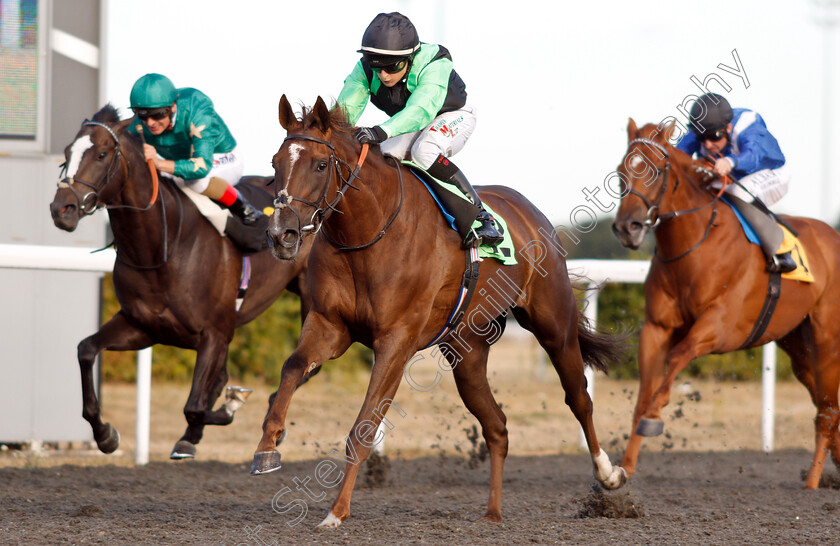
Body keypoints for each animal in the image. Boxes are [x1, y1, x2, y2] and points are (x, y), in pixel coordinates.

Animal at [49, 103, 314, 460]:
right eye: (66, 153)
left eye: (102, 154)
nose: (61, 208)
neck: (162, 248)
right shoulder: (142, 326)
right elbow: (86, 350)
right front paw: (105, 435)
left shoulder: (214, 333)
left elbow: (195, 406)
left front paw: (230, 407)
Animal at [246, 95, 628, 524]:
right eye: (276, 162)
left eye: (320, 165)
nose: (281, 235)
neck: (369, 232)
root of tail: (531, 212)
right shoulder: (330, 325)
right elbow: (293, 367)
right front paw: (267, 446)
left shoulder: (396, 342)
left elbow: (364, 426)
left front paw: (336, 512)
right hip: (467, 350)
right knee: (497, 426)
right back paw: (493, 513)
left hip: (554, 324)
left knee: (578, 397)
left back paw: (609, 475)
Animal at [612, 119, 840, 488]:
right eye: (621, 171)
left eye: (655, 171)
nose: (626, 228)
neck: (693, 245)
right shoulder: (656, 328)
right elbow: (643, 396)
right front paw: (622, 469)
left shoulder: (718, 327)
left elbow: (674, 363)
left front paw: (654, 417)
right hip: (799, 347)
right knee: (826, 403)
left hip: (827, 340)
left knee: (828, 411)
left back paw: (812, 481)